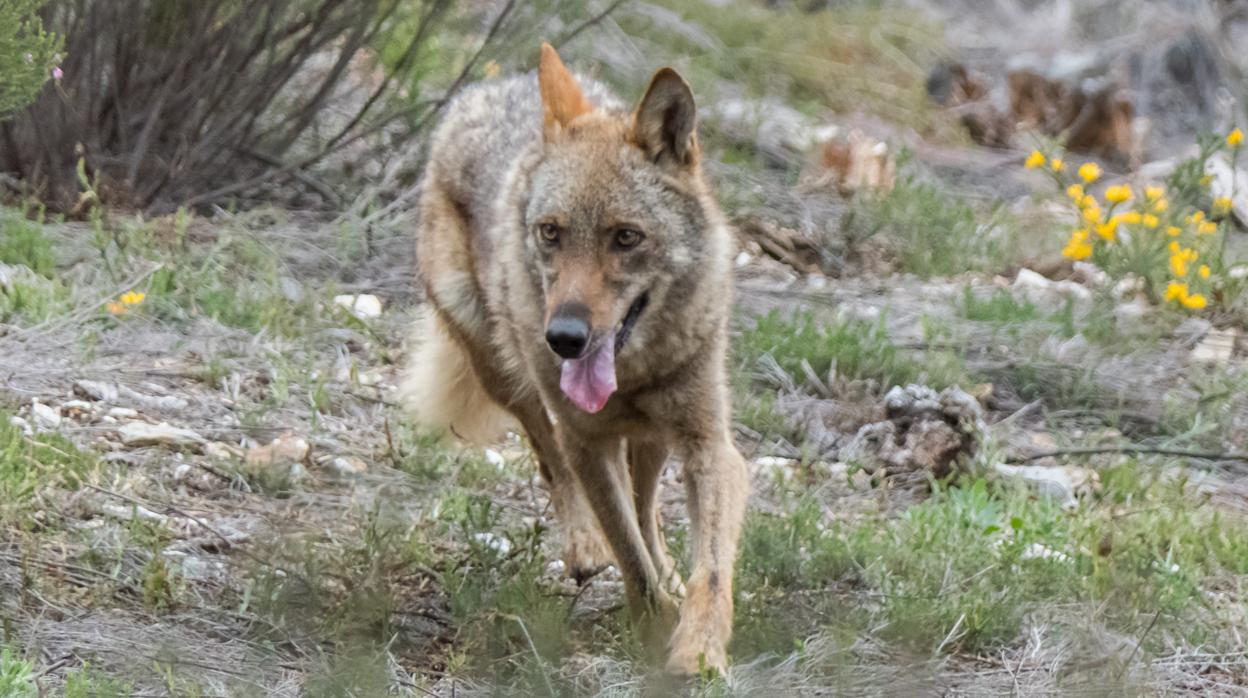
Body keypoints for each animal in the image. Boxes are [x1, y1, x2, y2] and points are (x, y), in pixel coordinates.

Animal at [404, 44, 743, 679]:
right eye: (551, 232)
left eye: (626, 237)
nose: (563, 337)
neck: (633, 373)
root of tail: (493, 88)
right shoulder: (585, 438)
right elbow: (627, 553)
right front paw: (652, 627)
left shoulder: (710, 445)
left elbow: (707, 570)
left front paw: (697, 651)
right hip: (505, 373)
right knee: (551, 459)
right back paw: (585, 547)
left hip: (653, 440)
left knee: (647, 508)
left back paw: (667, 570)